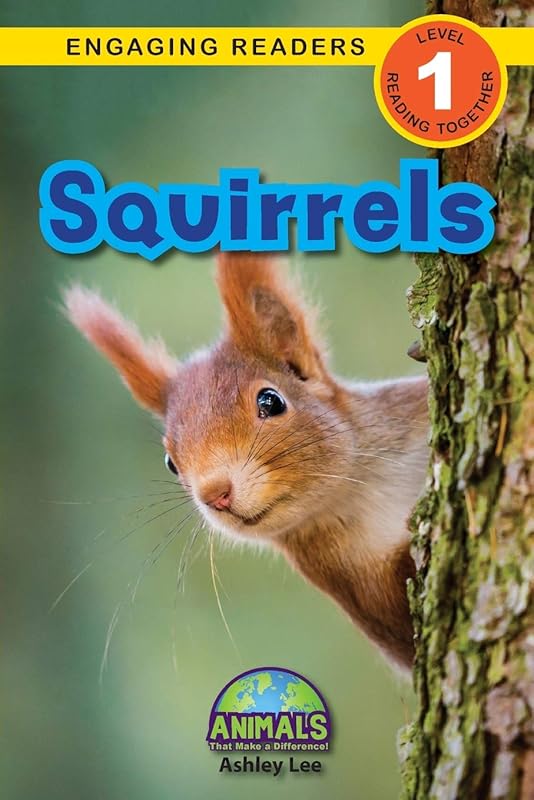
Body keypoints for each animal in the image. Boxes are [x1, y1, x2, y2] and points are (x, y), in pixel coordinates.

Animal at [63, 253, 429, 670]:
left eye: (270, 401)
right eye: (170, 462)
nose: (215, 494)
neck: (363, 490)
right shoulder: (359, 590)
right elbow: (405, 631)